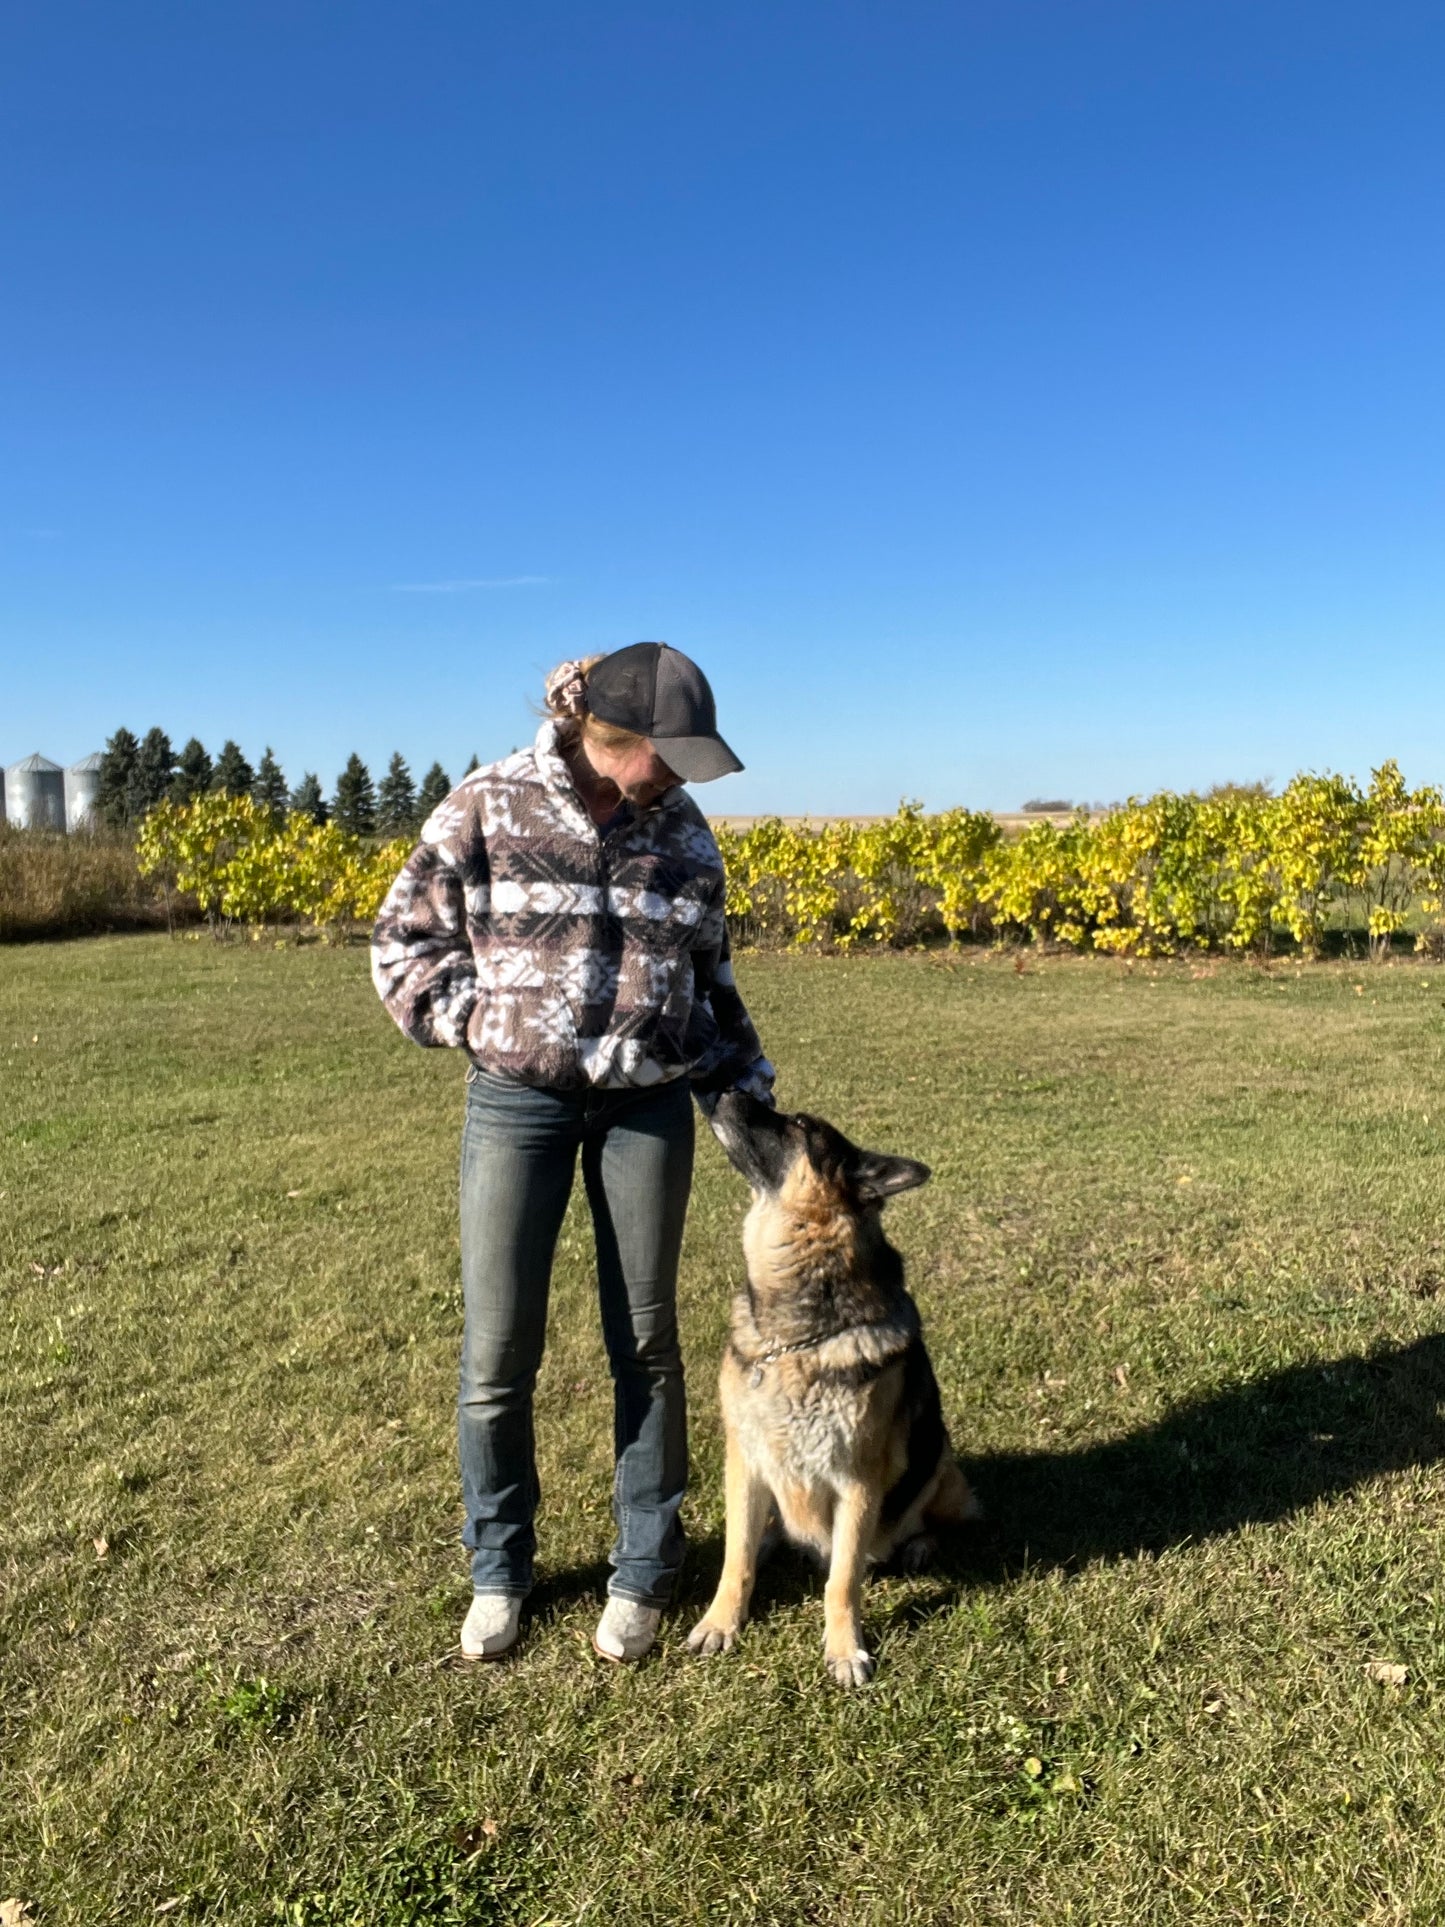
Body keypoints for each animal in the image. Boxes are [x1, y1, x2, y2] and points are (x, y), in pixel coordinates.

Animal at [685, 1102, 978, 1688]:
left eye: (798, 1125)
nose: (721, 1090)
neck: (797, 1339)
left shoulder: (858, 1481)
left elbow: (841, 1581)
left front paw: (845, 1650)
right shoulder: (744, 1465)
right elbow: (736, 1559)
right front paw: (721, 1622)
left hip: (942, 1464)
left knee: (936, 1520)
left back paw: (919, 1545)